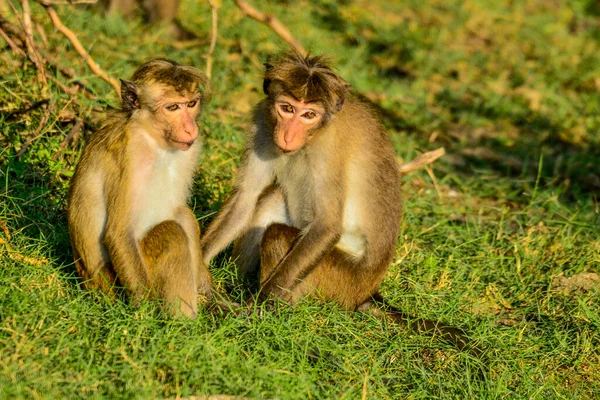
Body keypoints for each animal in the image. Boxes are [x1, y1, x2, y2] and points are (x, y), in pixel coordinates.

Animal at [68, 57, 213, 318]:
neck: (153, 138)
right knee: (170, 234)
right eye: (172, 107)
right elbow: (119, 233)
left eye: (191, 104)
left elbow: (177, 210)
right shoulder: (130, 155)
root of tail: (89, 282)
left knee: (183, 217)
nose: (191, 128)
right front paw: (145, 315)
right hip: (112, 285)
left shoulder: (189, 151)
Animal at [199, 51, 472, 348]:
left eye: (309, 114)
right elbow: (246, 198)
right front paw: (196, 270)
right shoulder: (261, 123)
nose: (288, 135)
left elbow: (327, 226)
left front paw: (256, 308)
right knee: (268, 200)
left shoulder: (328, 149)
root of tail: (366, 292)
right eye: (287, 109)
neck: (313, 135)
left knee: (277, 234)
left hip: (337, 282)